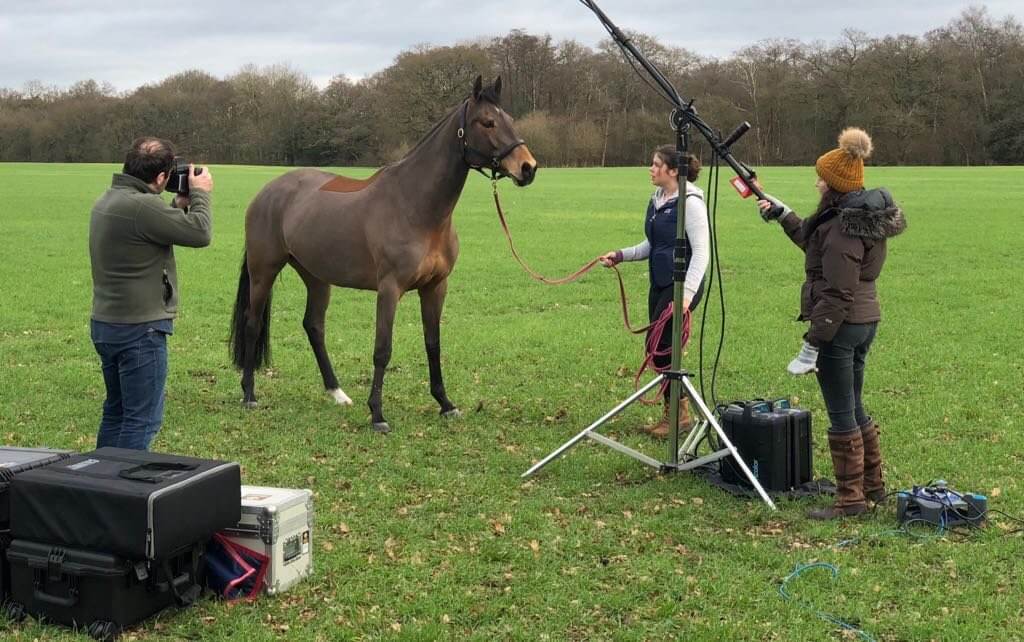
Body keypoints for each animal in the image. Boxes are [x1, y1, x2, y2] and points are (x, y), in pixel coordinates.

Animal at [230, 76, 538, 433]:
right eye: (487, 122)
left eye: (509, 119)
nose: (528, 167)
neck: (415, 206)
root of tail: (266, 193)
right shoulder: (390, 289)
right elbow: (382, 349)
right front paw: (377, 414)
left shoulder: (435, 287)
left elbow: (433, 344)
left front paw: (445, 404)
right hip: (263, 272)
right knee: (252, 325)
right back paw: (249, 394)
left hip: (316, 277)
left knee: (314, 327)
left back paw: (337, 393)